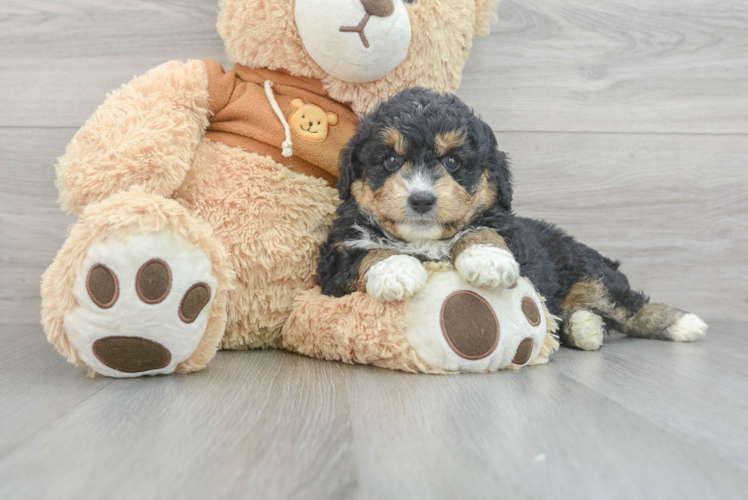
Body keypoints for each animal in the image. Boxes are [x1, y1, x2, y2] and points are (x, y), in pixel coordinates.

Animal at [318, 88, 708, 350]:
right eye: (391, 161)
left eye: (453, 162)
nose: (422, 199)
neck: (424, 240)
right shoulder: (334, 261)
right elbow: (366, 251)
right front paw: (397, 270)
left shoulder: (510, 234)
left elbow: (482, 230)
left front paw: (487, 259)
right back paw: (585, 327)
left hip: (588, 268)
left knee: (626, 304)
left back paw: (682, 324)